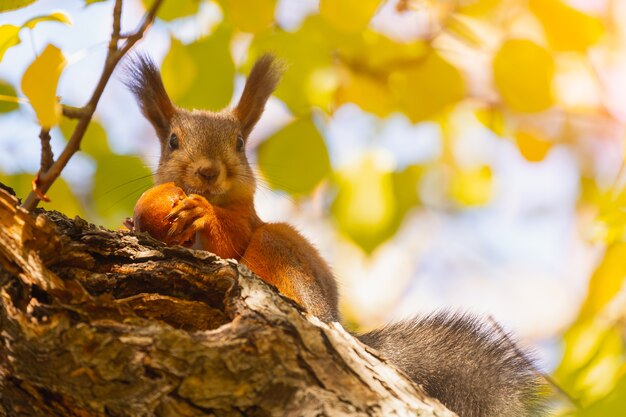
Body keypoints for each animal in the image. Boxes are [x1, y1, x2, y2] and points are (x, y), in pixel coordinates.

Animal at [122, 53, 540, 414]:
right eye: (172, 141)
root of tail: (335, 321)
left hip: (277, 245)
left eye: (239, 143)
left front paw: (202, 212)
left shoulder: (246, 222)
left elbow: (228, 242)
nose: (208, 171)